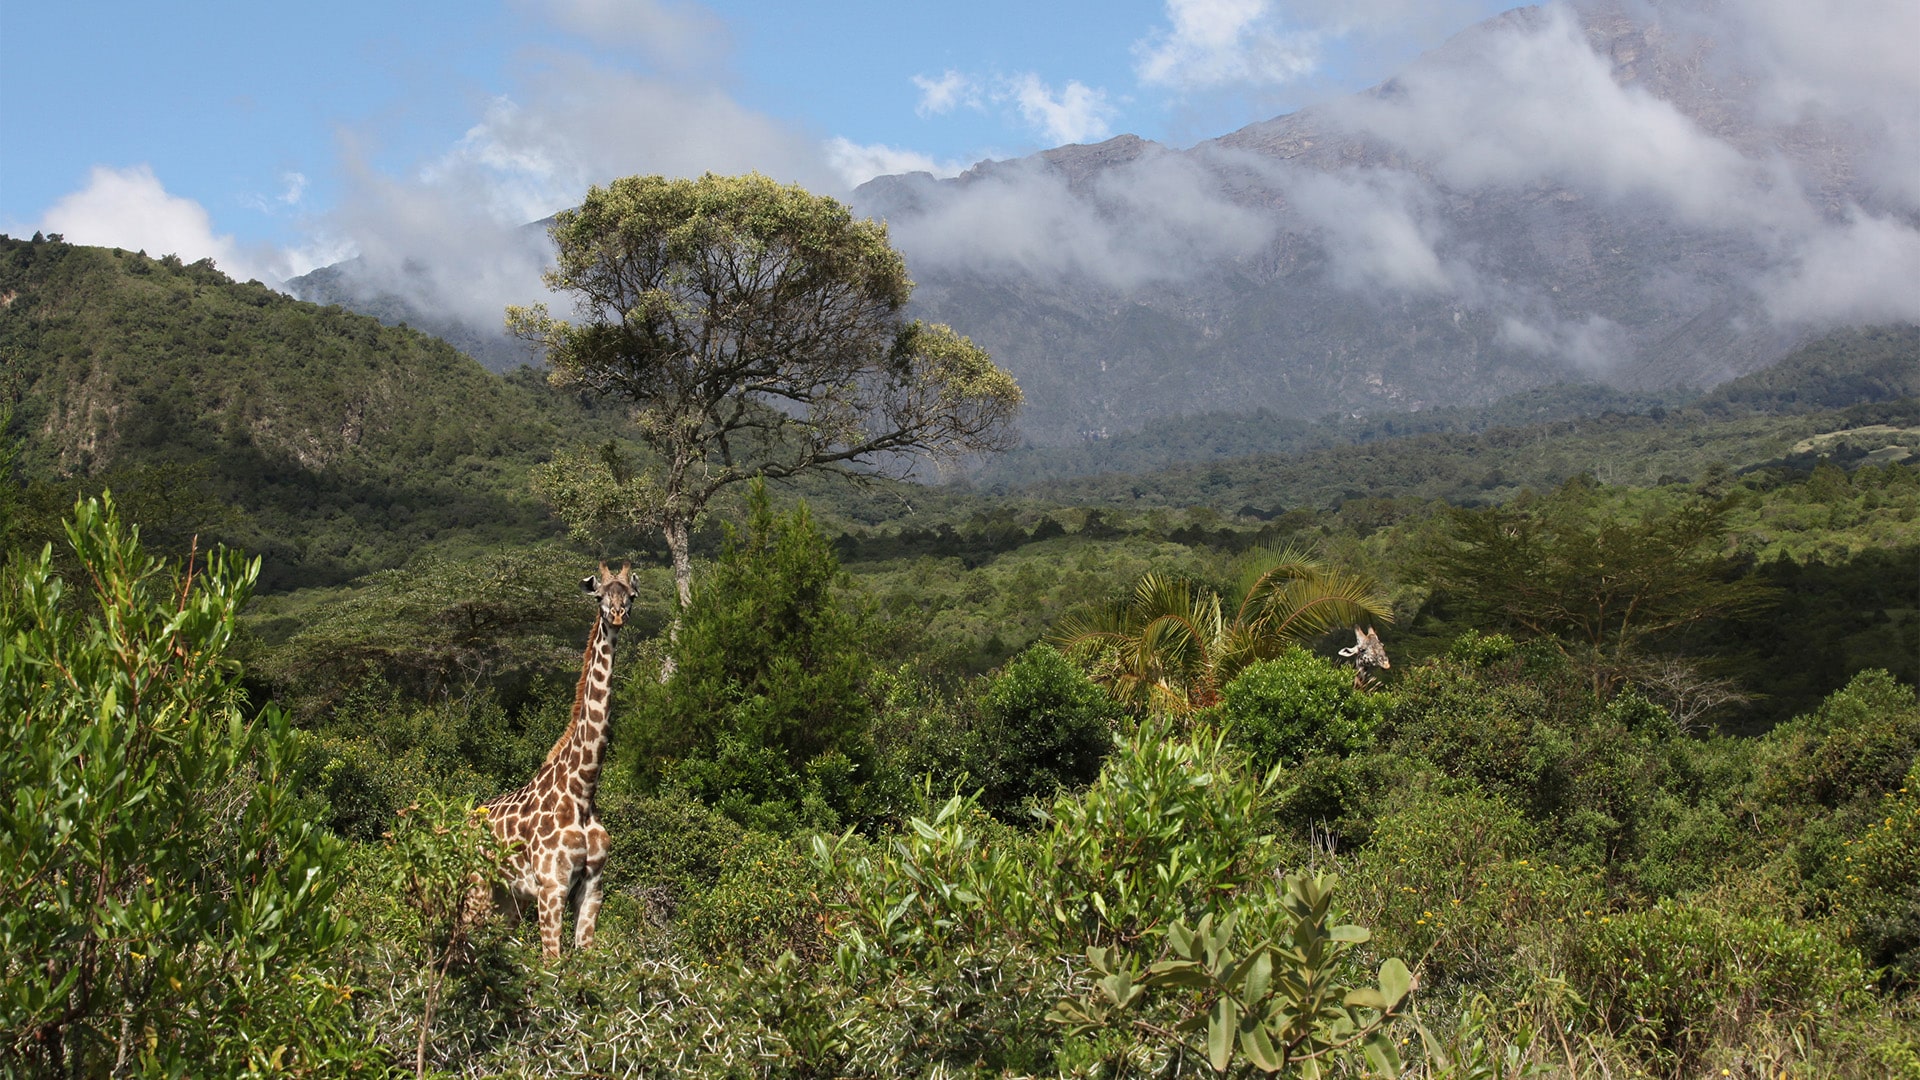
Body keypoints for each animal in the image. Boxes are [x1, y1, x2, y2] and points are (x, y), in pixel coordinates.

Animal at [479, 562, 634, 957]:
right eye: (599, 595)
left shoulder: (593, 888)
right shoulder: (551, 887)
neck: (582, 790)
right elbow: (552, 961)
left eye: (630, 594)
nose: (617, 615)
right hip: (477, 885)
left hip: (508, 901)